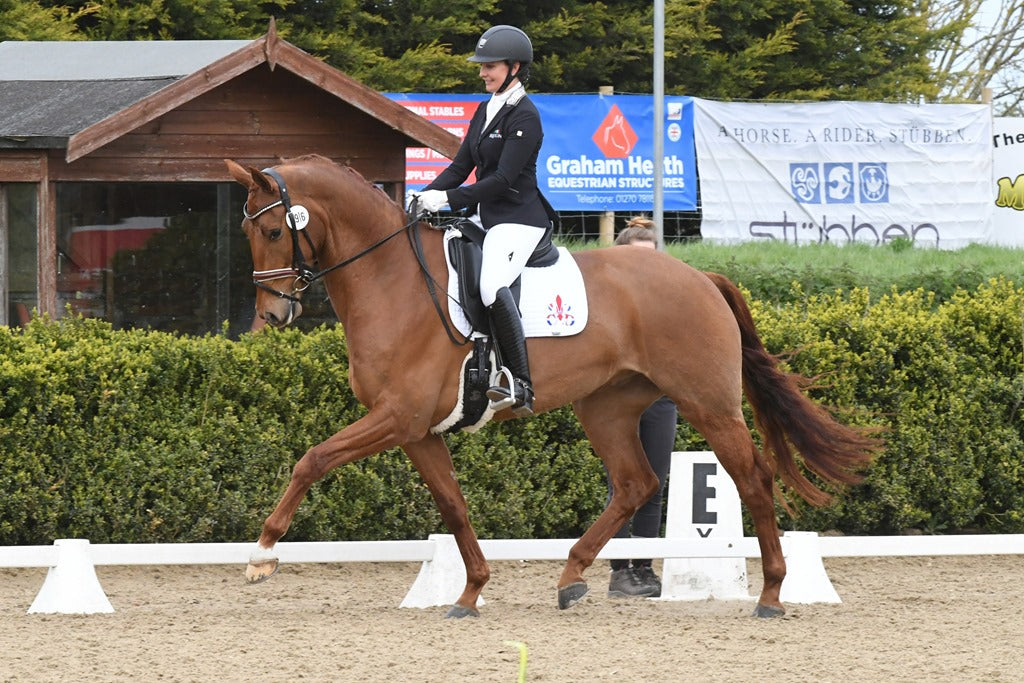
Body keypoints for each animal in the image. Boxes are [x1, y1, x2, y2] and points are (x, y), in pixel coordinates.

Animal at [224, 154, 880, 618]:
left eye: (276, 232)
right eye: (248, 232)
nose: (274, 315)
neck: (393, 281)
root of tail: (699, 276)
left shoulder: (398, 418)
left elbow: (312, 459)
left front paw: (262, 555)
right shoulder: (417, 430)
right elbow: (454, 506)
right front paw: (470, 593)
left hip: (709, 403)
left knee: (752, 478)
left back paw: (770, 594)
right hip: (608, 406)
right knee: (636, 483)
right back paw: (571, 578)